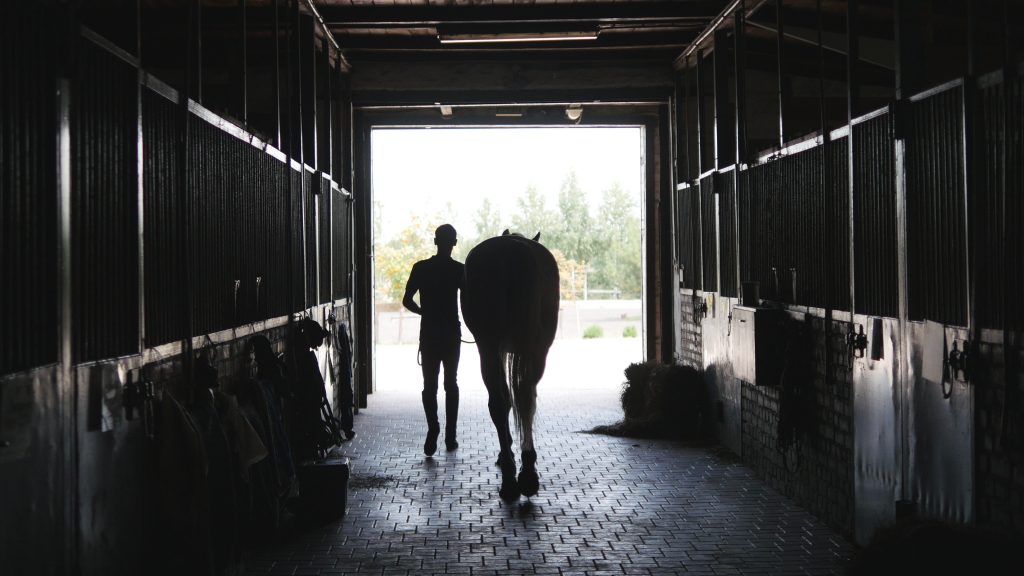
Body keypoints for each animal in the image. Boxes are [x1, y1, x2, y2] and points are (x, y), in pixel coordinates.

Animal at [460, 230, 560, 501]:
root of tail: (512, 248)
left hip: (489, 346)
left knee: (503, 401)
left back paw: (511, 475)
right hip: (533, 349)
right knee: (524, 397)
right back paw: (525, 474)